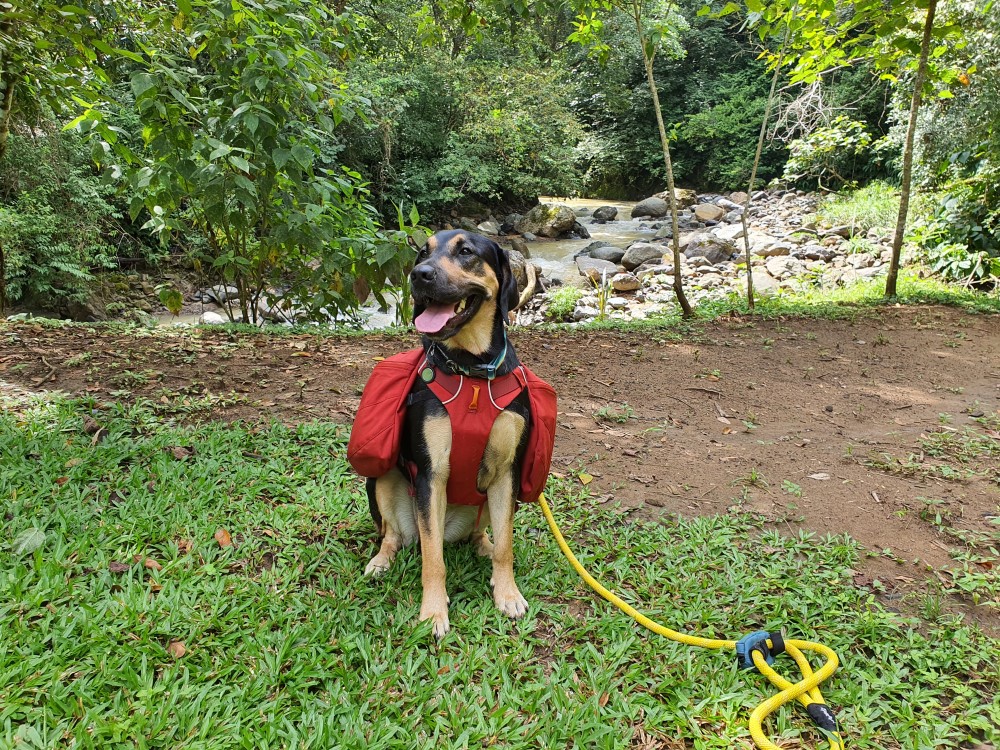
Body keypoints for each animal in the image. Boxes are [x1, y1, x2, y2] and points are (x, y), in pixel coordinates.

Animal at [366, 231, 540, 640]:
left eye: (466, 251)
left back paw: (484, 546)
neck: (472, 370)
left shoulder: (507, 472)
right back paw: (381, 560)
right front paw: (433, 612)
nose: (419, 275)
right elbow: (434, 560)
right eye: (421, 253)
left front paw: (507, 592)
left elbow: (507, 544)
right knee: (394, 535)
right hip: (382, 477)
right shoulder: (431, 475)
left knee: (483, 534)